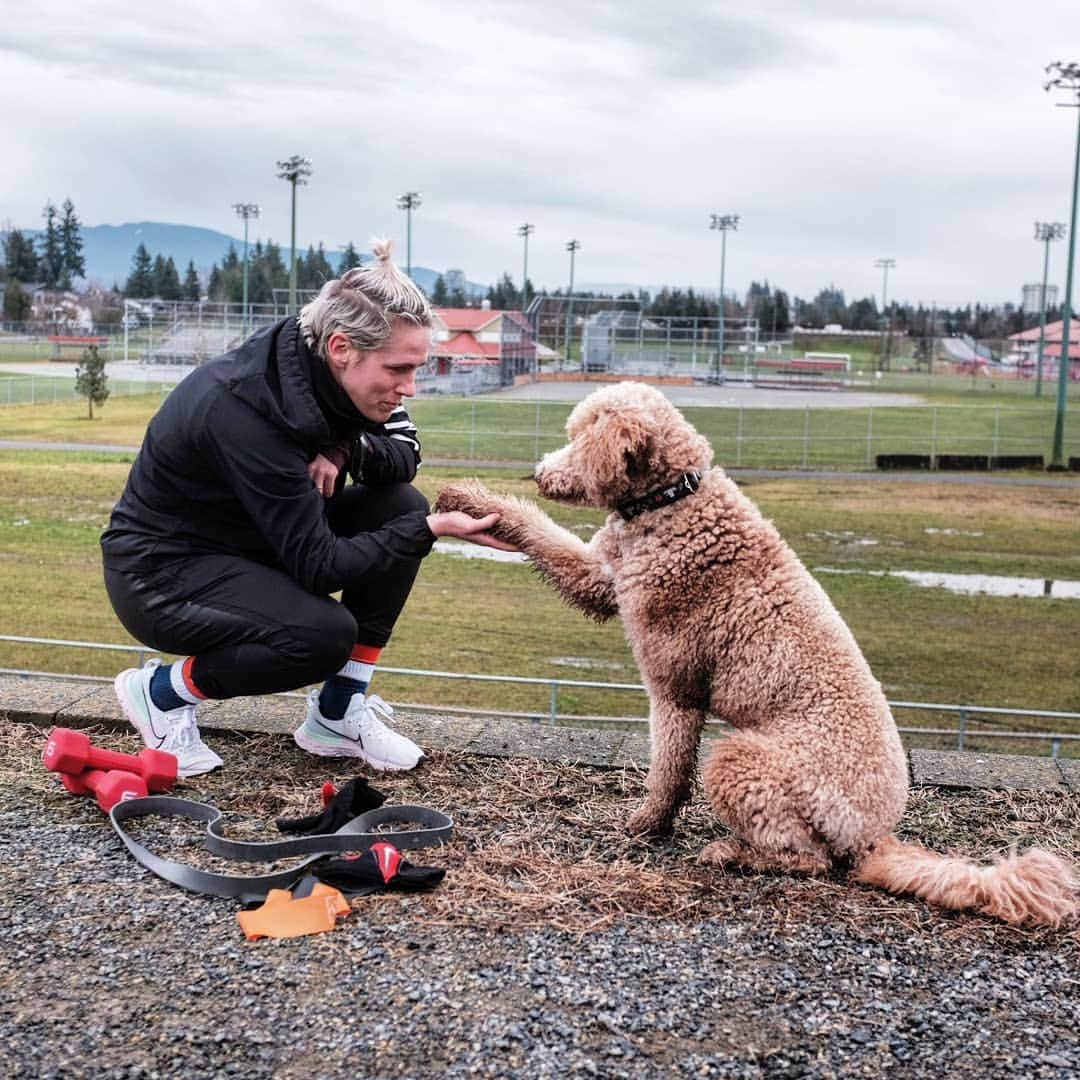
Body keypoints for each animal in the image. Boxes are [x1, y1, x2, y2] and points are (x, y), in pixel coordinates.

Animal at [434, 382, 1075, 928]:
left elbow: (669, 767)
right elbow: (540, 533)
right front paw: (472, 500)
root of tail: (875, 835)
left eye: (576, 437)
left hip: (746, 762)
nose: (540, 473)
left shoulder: (673, 686)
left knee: (809, 860)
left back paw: (733, 853)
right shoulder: (600, 576)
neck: (674, 503)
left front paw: (648, 823)